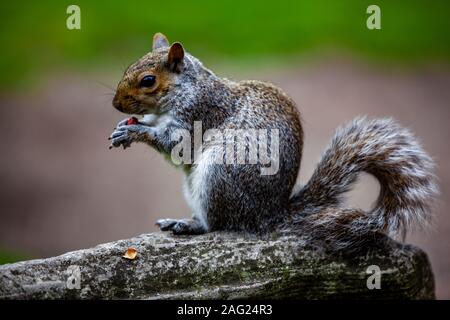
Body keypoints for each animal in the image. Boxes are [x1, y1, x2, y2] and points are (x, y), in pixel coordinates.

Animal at [109, 32, 436, 251]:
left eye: (148, 81)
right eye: (127, 68)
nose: (116, 104)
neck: (186, 89)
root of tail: (271, 215)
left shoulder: (198, 115)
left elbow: (175, 146)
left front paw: (135, 132)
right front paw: (124, 127)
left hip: (219, 175)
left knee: (221, 224)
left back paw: (192, 225)